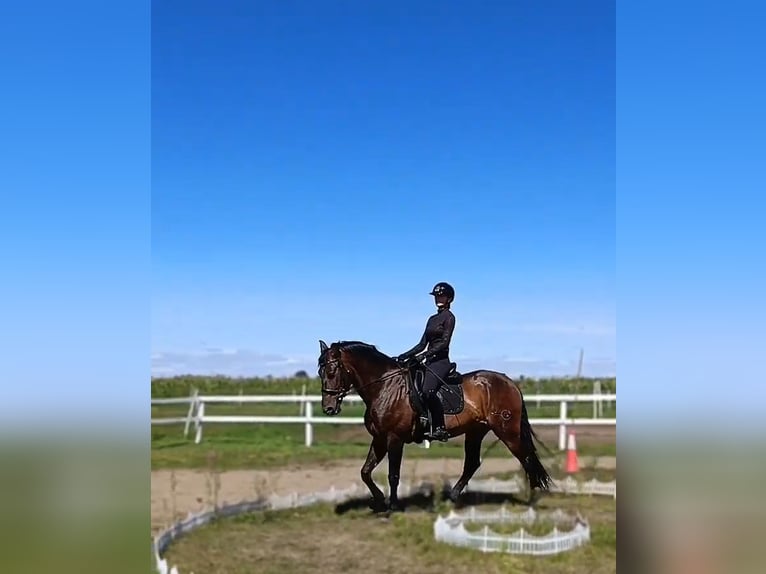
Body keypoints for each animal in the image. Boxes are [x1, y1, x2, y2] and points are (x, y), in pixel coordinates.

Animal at [316, 339, 553, 512]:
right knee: (473, 464)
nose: (328, 408)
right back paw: (451, 498)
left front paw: (393, 506)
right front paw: (379, 500)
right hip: (476, 431)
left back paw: (532, 498)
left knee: (526, 456)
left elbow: (393, 475)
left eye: (332, 371)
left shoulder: (394, 439)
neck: (385, 387)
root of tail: (510, 382)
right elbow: (365, 471)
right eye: (320, 372)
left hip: (507, 431)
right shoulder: (380, 438)